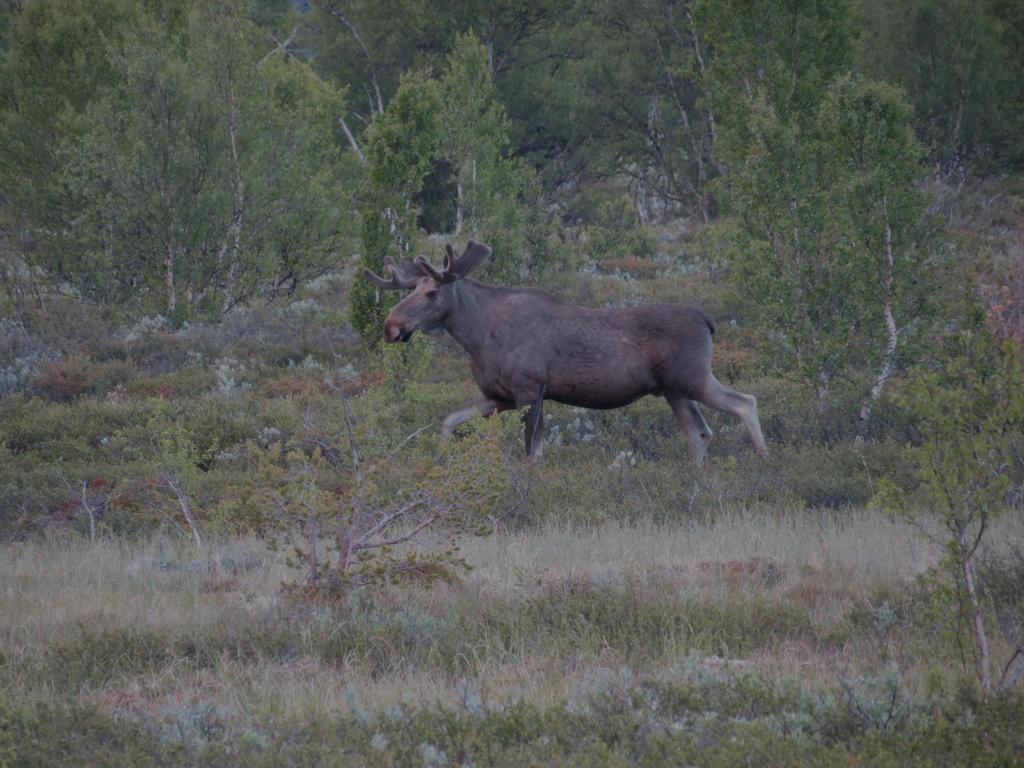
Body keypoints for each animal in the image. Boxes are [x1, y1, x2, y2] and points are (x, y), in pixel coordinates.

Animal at [364, 240, 765, 462]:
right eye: (411, 289)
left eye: (431, 293)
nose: (391, 326)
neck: (476, 337)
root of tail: (708, 321)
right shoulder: (498, 395)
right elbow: (449, 420)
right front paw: (440, 460)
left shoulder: (530, 388)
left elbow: (532, 451)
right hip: (673, 389)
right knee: (699, 433)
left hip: (693, 377)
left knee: (745, 402)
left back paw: (764, 463)